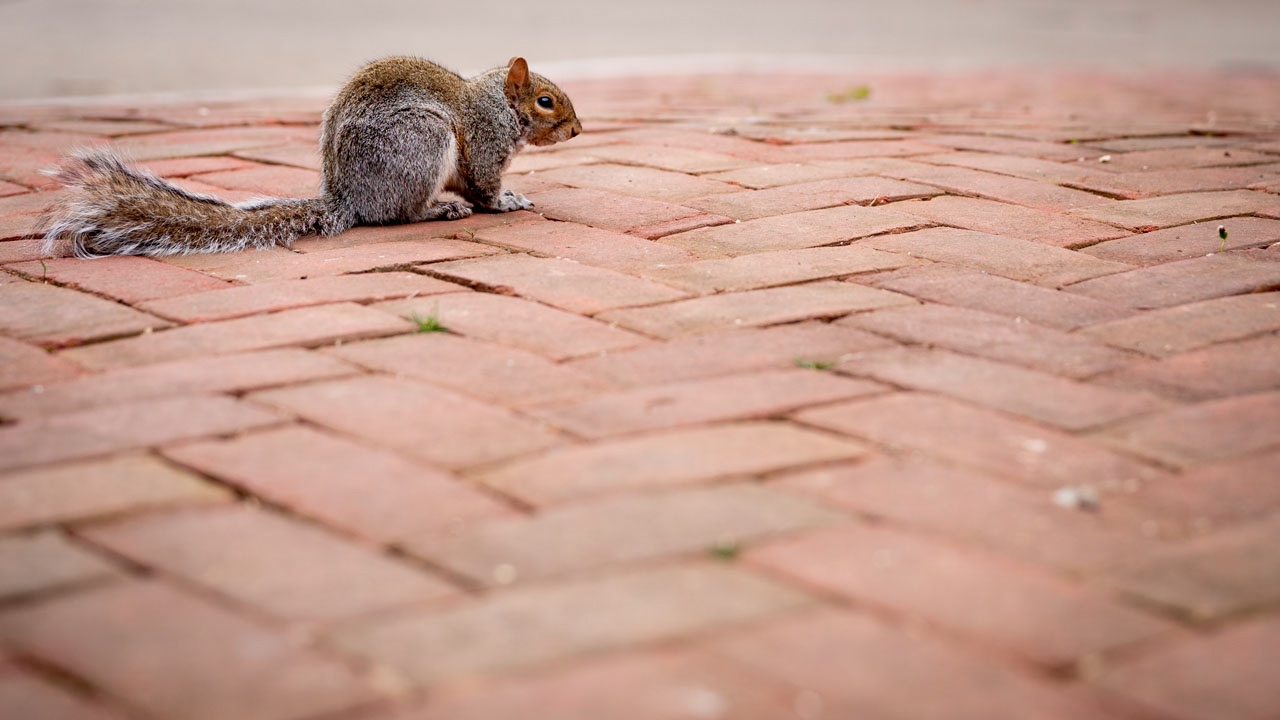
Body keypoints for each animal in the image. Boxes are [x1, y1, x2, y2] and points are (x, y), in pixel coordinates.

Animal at [38, 56, 581, 257]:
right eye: (546, 101)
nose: (579, 129)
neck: (498, 105)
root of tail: (349, 198)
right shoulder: (484, 144)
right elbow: (484, 186)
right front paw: (507, 201)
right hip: (421, 144)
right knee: (396, 214)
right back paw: (438, 208)